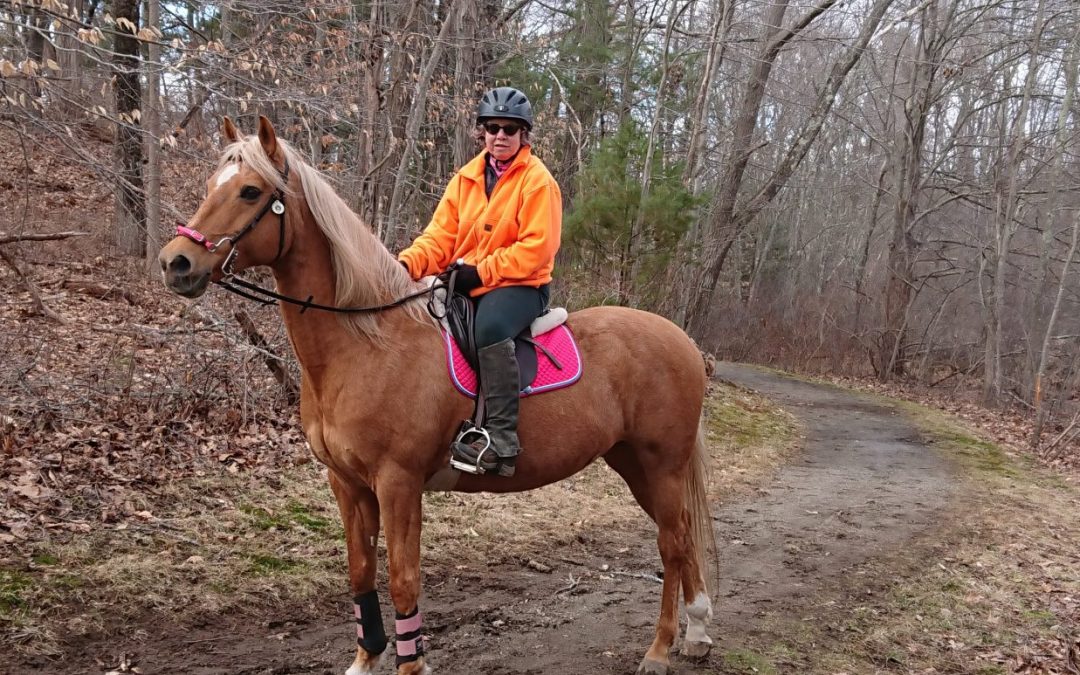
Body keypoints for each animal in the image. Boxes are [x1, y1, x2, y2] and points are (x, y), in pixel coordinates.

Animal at [158, 116, 717, 675]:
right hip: (634, 464)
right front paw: (365, 658)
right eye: (210, 185)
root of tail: (683, 341)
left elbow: (403, 581)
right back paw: (697, 630)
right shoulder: (347, 484)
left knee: (671, 544)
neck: (366, 343)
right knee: (683, 535)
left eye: (250, 191)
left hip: (661, 464)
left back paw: (660, 649)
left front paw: (410, 664)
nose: (175, 262)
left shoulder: (398, 483)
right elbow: (360, 572)